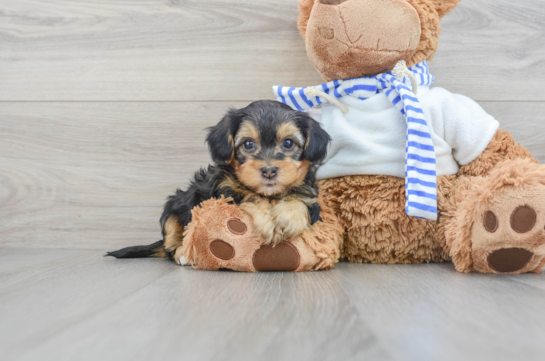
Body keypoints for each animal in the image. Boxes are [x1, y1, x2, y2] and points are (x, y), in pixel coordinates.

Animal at [105, 100, 328, 262]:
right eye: (248, 144)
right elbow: (248, 196)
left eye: (288, 143)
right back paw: (182, 253)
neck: (269, 193)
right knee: (170, 240)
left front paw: (288, 217)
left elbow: (300, 200)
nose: (269, 171)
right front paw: (267, 219)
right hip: (173, 206)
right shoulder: (222, 191)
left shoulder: (310, 197)